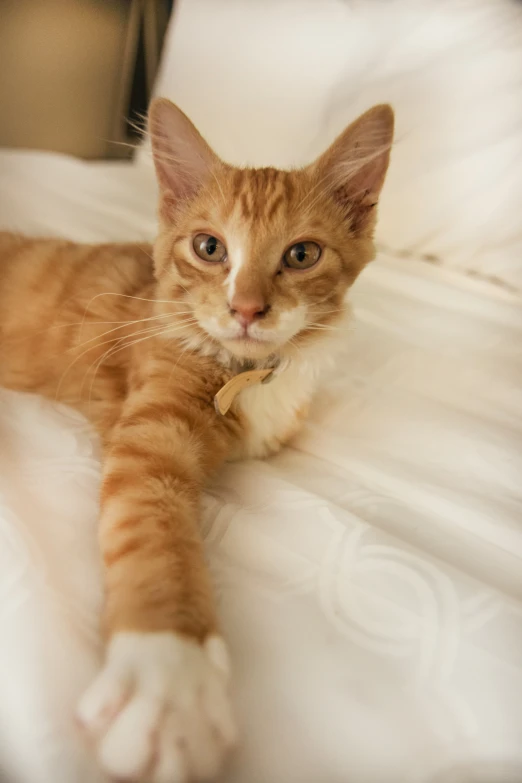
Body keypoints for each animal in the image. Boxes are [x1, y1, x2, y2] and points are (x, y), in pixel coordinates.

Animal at [0, 99, 390, 783]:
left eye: (302, 254)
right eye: (210, 248)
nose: (247, 309)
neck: (249, 372)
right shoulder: (151, 436)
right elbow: (153, 530)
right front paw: (168, 676)